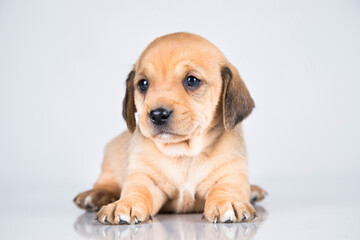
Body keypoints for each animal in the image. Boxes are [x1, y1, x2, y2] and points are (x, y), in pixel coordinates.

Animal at [73, 32, 266, 224]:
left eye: (192, 80)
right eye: (143, 84)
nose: (158, 114)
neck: (184, 154)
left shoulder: (230, 176)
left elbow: (226, 189)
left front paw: (228, 202)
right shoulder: (145, 179)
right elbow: (136, 191)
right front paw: (125, 204)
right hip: (111, 156)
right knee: (107, 182)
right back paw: (95, 195)